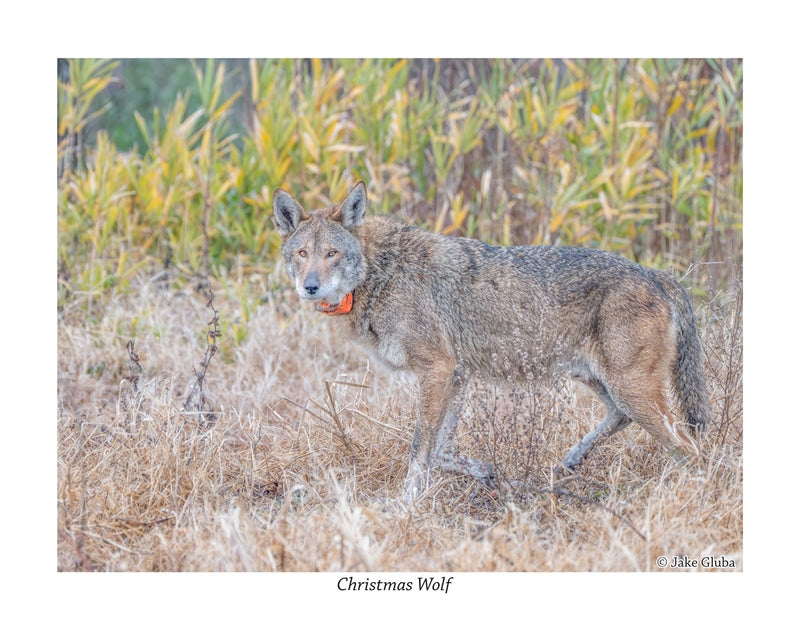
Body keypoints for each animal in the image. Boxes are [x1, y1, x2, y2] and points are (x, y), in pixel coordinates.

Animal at [272, 182, 710, 501]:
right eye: (302, 253)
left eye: (332, 253)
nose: (310, 287)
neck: (380, 272)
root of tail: (657, 274)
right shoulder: (458, 376)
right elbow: (440, 450)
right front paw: (482, 471)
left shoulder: (438, 370)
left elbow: (419, 448)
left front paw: (406, 501)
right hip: (601, 382)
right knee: (621, 418)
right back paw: (570, 460)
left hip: (631, 390)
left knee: (690, 448)